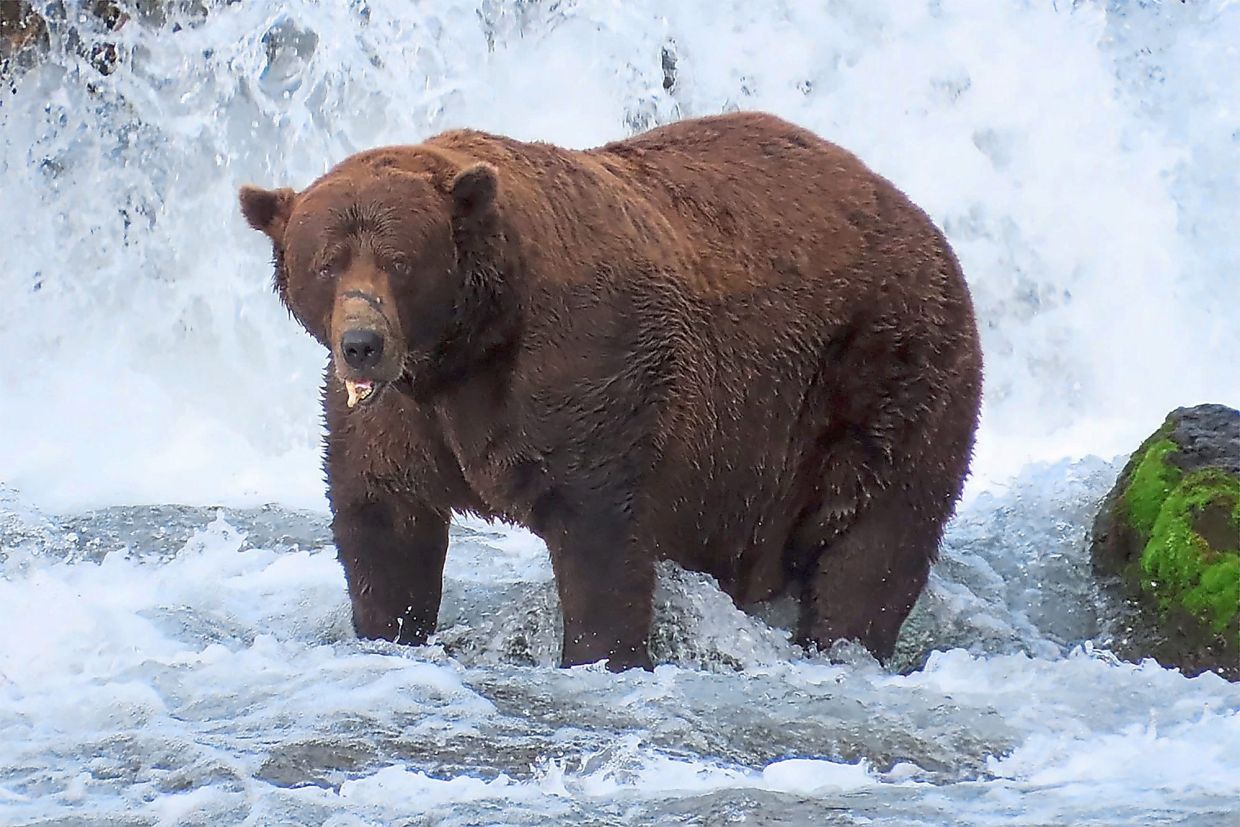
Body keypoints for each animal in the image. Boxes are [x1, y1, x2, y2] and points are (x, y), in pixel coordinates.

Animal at [239, 112, 983, 671]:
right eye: (326, 262)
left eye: (399, 261)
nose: (362, 342)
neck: (466, 350)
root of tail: (917, 215)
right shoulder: (396, 416)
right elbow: (383, 519)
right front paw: (389, 628)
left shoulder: (588, 370)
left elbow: (599, 533)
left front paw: (602, 654)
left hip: (883, 371)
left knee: (875, 537)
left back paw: (842, 642)